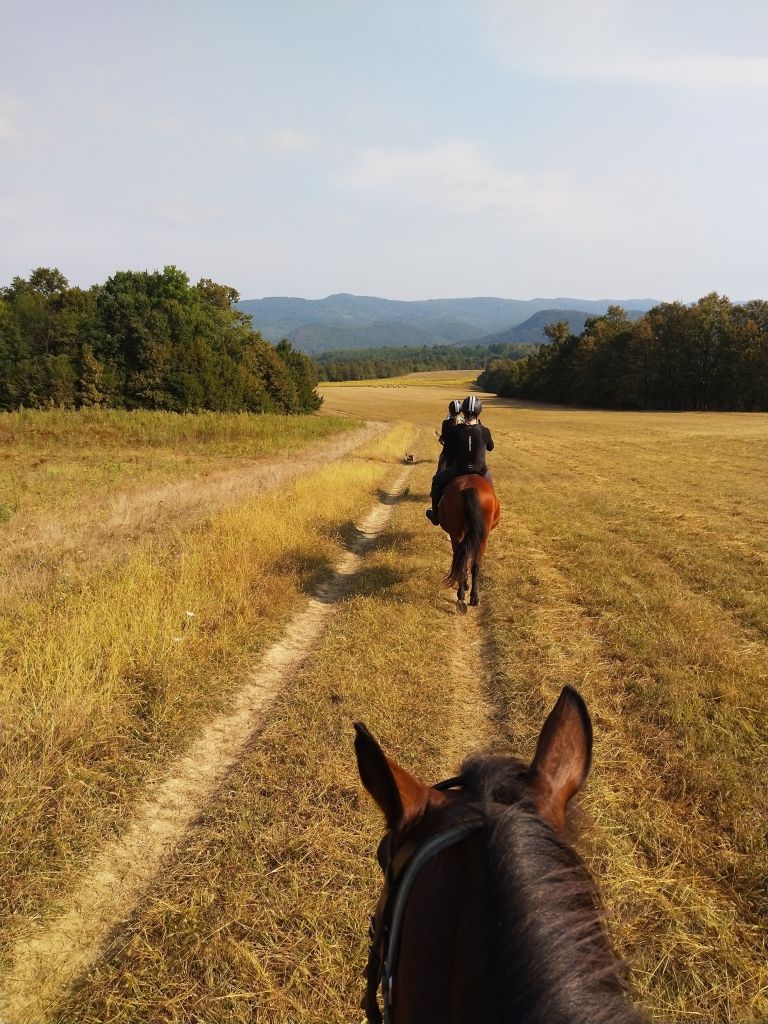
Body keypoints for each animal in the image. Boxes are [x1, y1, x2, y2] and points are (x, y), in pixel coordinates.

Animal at [438, 471, 499, 606]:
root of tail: (469, 487)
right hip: (481, 535)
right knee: (473, 564)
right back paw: (472, 596)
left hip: (458, 534)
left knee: (464, 561)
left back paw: (463, 594)